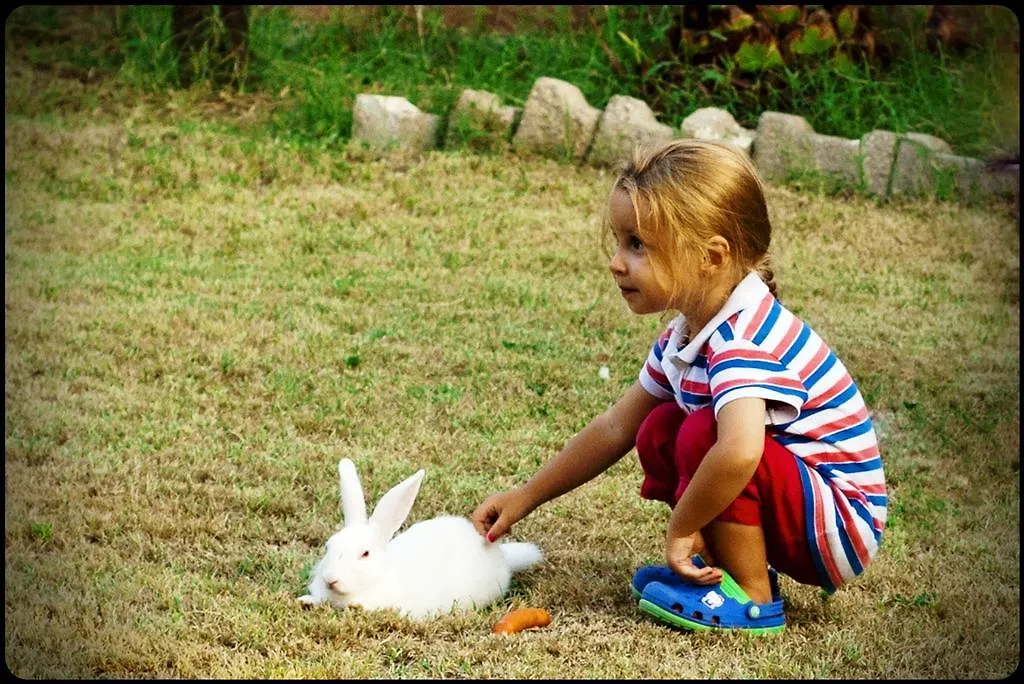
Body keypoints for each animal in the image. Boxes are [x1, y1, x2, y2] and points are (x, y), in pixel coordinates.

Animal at [299, 458, 544, 618]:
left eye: (365, 554)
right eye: (328, 546)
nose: (330, 579)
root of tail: (502, 555)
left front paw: (354, 608)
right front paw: (306, 601)